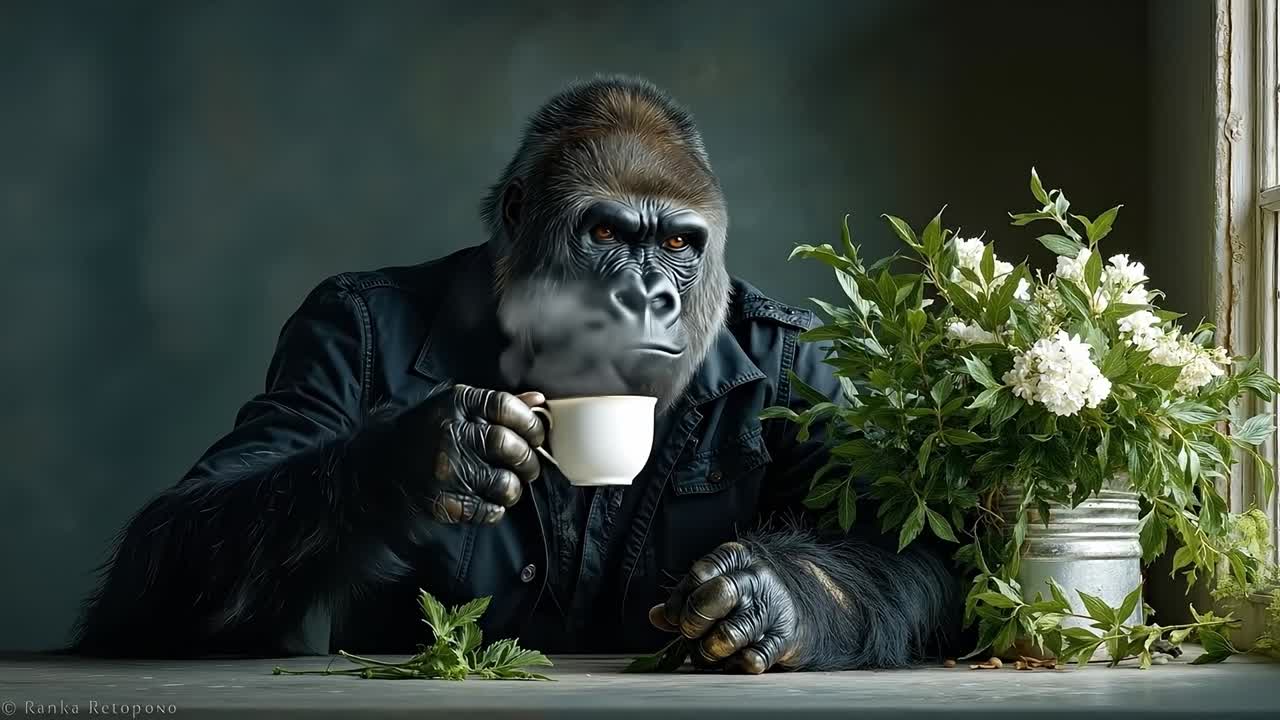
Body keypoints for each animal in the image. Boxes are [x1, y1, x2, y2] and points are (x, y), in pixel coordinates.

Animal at [71, 75, 960, 671]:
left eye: (678, 244)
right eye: (606, 233)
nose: (651, 294)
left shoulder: (806, 363)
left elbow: (912, 547)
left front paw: (772, 597)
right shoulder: (329, 322)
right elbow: (168, 549)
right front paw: (430, 453)